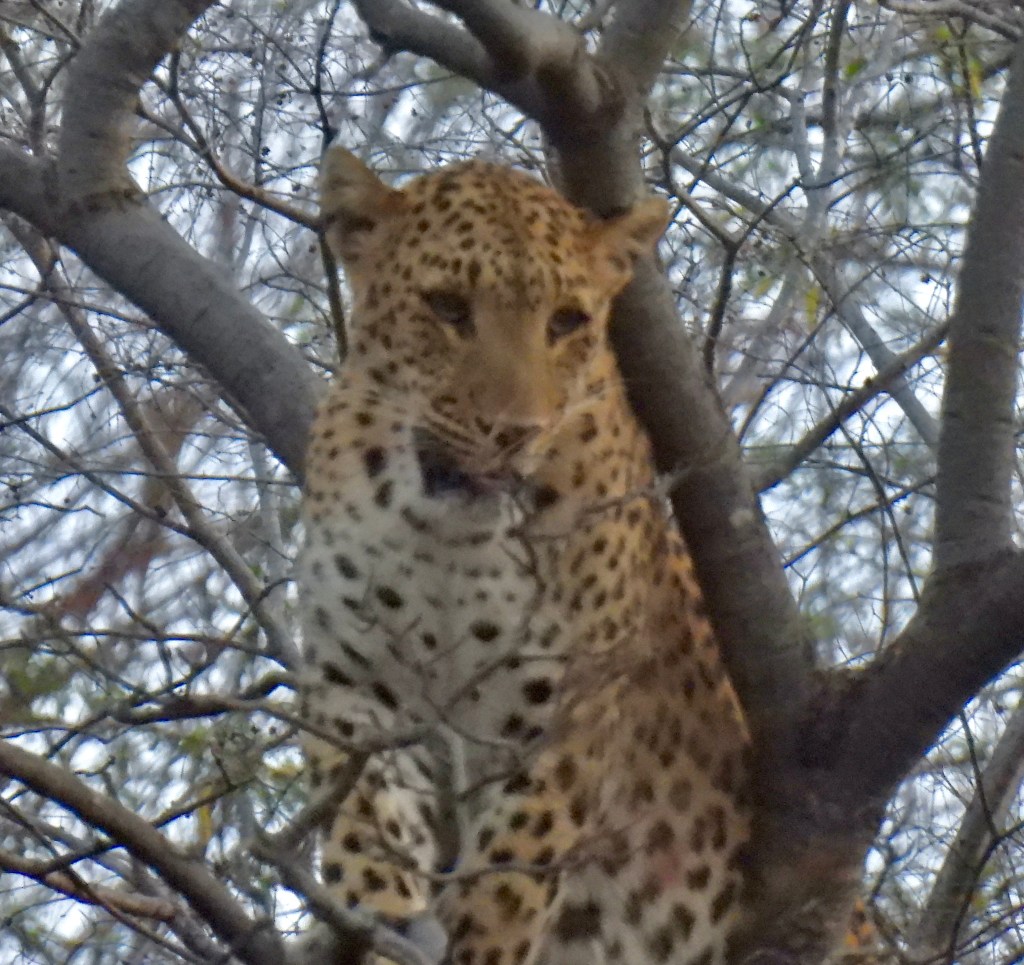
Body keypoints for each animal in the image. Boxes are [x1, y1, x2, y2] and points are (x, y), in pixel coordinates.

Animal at [297, 145, 751, 965]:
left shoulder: (565, 712)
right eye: (447, 307)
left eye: (566, 321)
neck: (445, 538)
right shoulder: (353, 679)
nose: (514, 431)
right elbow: (364, 824)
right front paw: (379, 917)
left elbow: (510, 876)